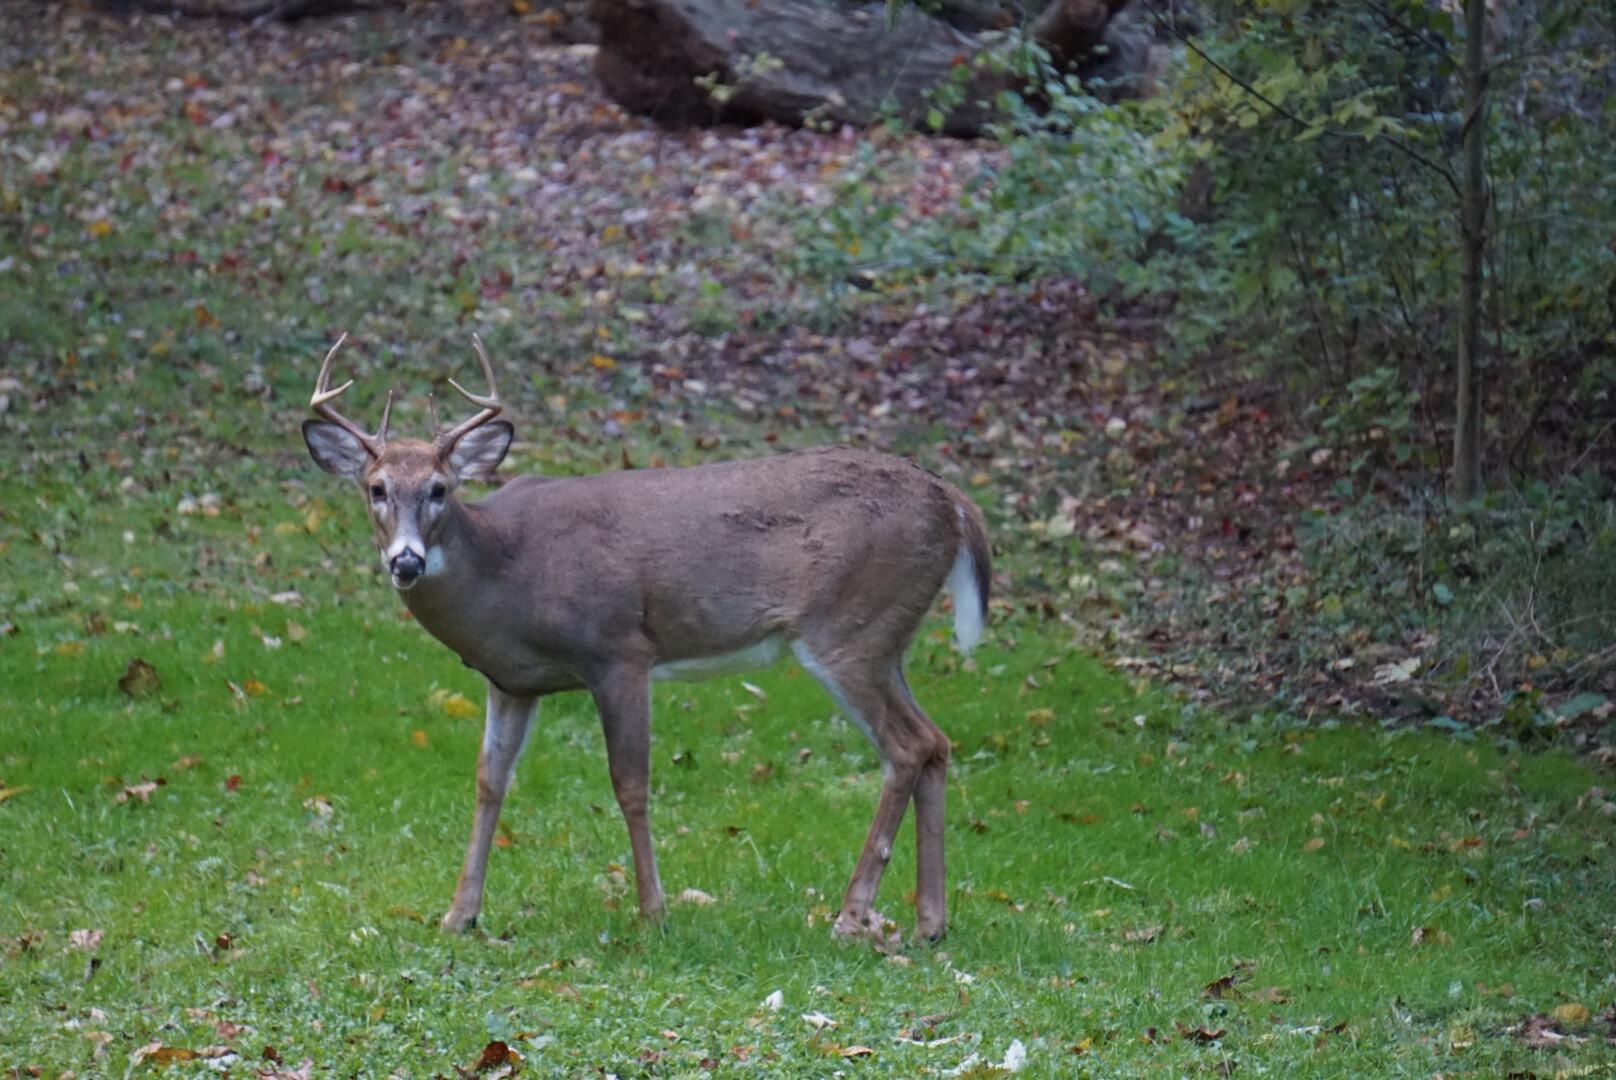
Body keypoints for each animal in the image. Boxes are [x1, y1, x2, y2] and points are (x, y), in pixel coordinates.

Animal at [299, 335, 992, 943]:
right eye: (376, 488)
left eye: (440, 488)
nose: (406, 561)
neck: (507, 571)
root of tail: (955, 503)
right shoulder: (512, 681)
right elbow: (488, 781)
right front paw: (458, 915)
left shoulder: (618, 650)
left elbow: (629, 783)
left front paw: (653, 912)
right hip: (885, 637)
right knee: (935, 741)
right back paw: (930, 923)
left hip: (848, 628)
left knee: (905, 745)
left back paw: (850, 918)